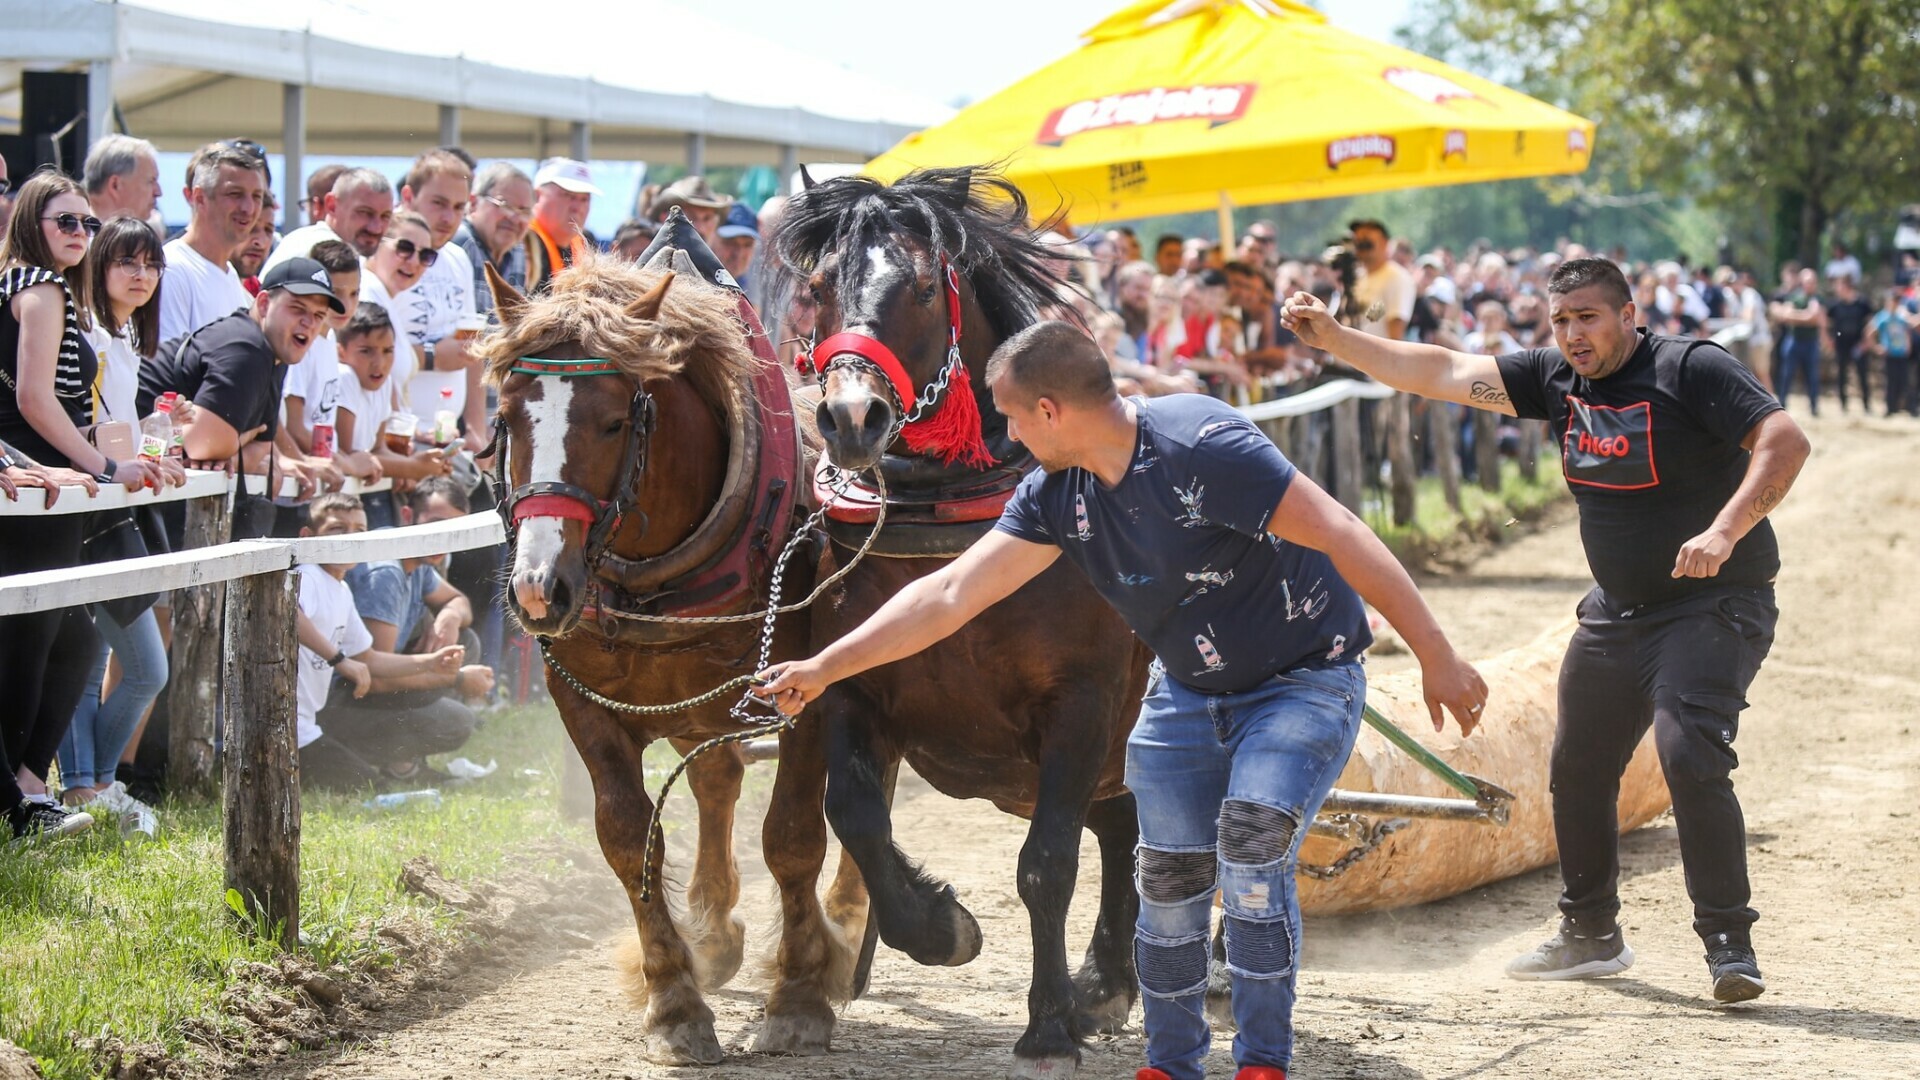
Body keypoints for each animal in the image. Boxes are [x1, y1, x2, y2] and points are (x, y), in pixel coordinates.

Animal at [476, 249, 867, 1060]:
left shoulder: (808, 693)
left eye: (614, 420)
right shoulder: (583, 704)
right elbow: (628, 840)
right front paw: (674, 998)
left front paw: (801, 990)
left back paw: (848, 927)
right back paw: (713, 931)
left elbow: (792, 836)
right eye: (505, 417)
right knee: (717, 780)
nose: (538, 590)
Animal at [768, 164, 1152, 1068]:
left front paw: (1047, 1024)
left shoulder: (1080, 703)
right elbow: (856, 816)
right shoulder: (852, 687)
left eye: (915, 288)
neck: (948, 524)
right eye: (817, 289)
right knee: (1119, 821)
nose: (850, 418)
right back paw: (1106, 981)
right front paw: (939, 925)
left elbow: (1046, 865)